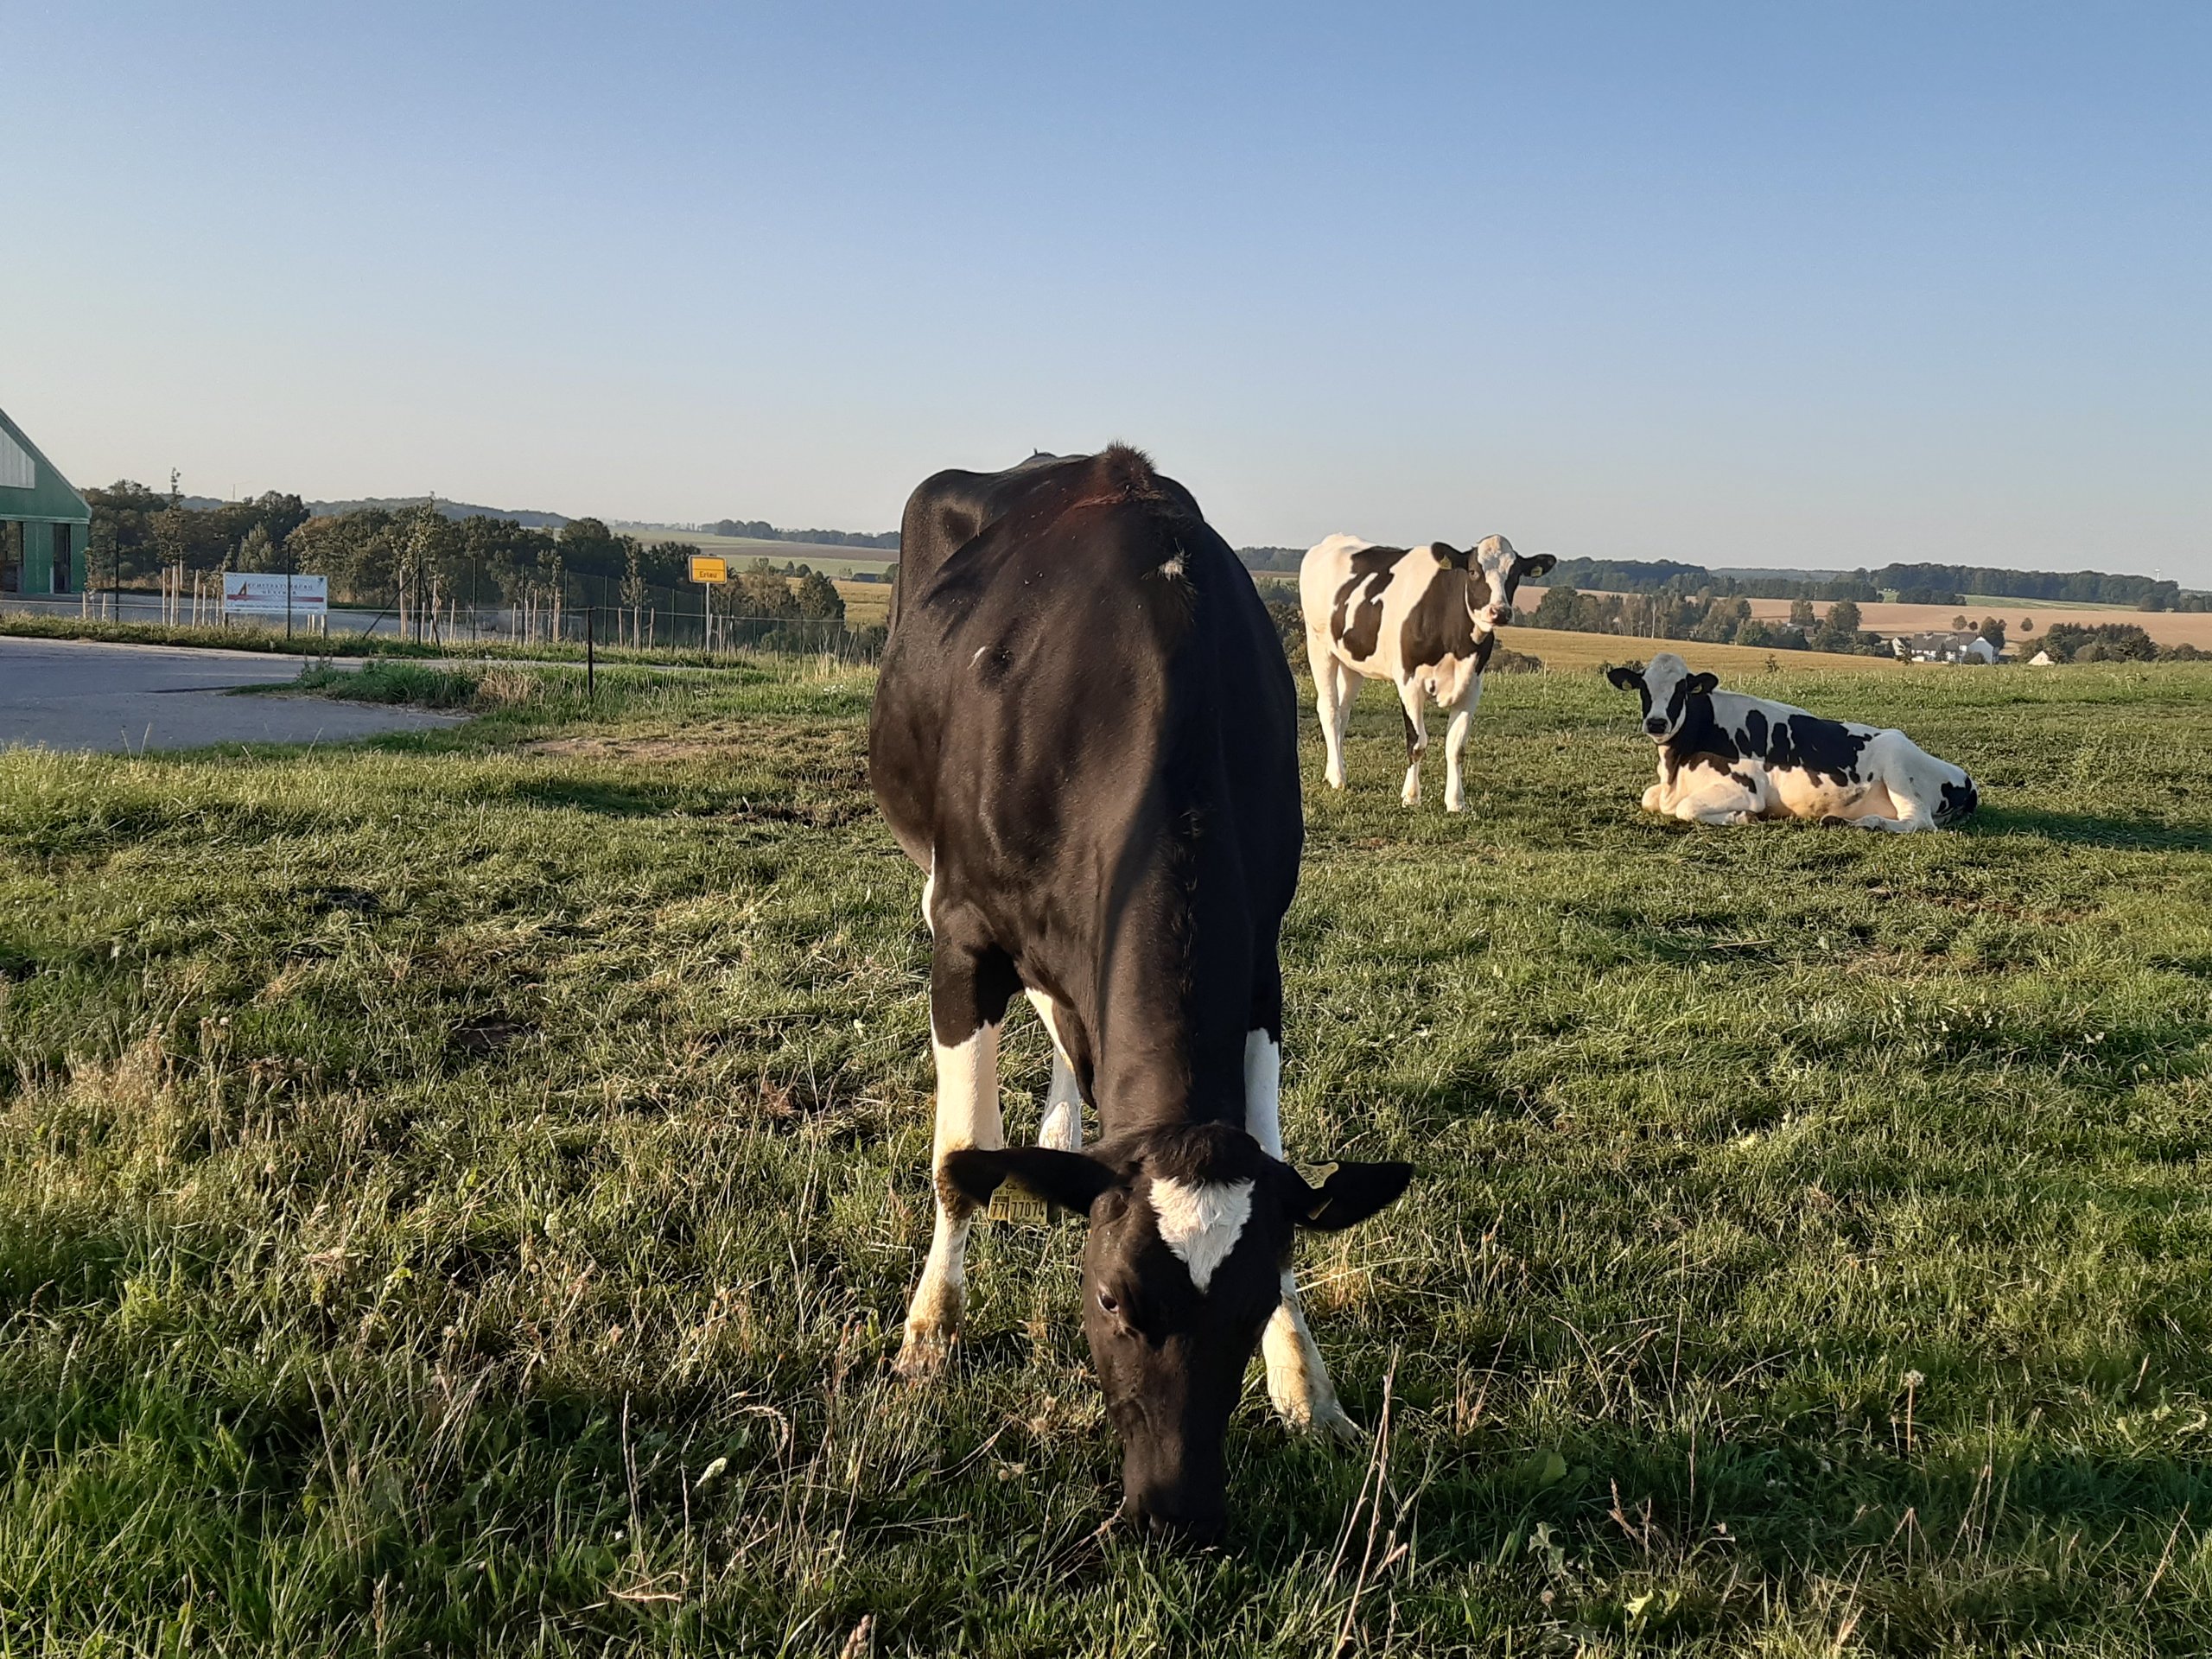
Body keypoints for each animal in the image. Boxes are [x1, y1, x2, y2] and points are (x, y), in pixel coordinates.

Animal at [869, 445, 1412, 1540]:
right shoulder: (965, 933)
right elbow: (956, 1160)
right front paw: (926, 1339)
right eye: (1114, 1301)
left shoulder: (1262, 962)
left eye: (1251, 1307)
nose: (1177, 1512)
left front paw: (1307, 1388)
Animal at [1299, 533, 1556, 810]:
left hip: (1352, 661)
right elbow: (1417, 742)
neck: (1456, 642)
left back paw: (1334, 770)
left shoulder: (1472, 686)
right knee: (1329, 710)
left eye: (1515, 574)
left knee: (1343, 713)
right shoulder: (1409, 683)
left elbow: (1456, 747)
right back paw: (1338, 778)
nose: (1499, 612)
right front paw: (1411, 796)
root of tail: (1333, 540)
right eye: (1474, 572)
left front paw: (1456, 801)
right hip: (1319, 646)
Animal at [1605, 652, 1980, 832]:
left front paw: (1743, 818)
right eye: (1643, 687)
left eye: (1682, 688)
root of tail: (1966, 778)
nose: (1657, 722)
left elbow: (1686, 808)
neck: (1676, 763)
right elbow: (1649, 798)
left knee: (1917, 822)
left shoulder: (1746, 787)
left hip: (1897, 758)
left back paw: (1869, 824)